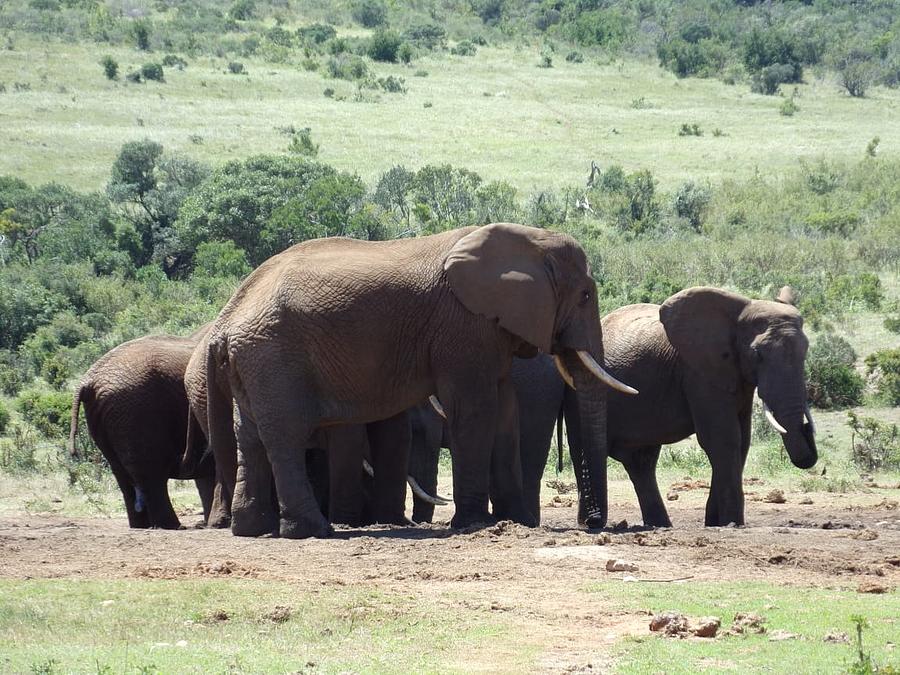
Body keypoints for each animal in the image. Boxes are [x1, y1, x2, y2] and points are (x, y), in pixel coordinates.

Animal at [69, 330, 214, 532]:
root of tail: (87, 380)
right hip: (135, 410)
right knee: (151, 473)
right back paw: (172, 526)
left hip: (107, 415)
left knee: (122, 474)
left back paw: (141, 526)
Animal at [183, 224, 632, 540]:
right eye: (586, 296)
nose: (594, 526)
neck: (529, 238)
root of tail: (226, 319)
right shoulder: (462, 325)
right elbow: (475, 408)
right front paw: (476, 525)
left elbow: (505, 409)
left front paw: (516, 522)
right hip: (274, 358)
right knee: (284, 436)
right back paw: (313, 531)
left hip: (254, 362)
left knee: (250, 436)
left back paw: (251, 530)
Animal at [408, 286, 816, 528]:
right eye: (758, 354)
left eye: (807, 351)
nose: (808, 456)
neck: (740, 306)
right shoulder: (699, 370)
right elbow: (723, 439)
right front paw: (729, 524)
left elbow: (740, 441)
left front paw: (718, 523)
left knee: (640, 461)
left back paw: (653, 525)